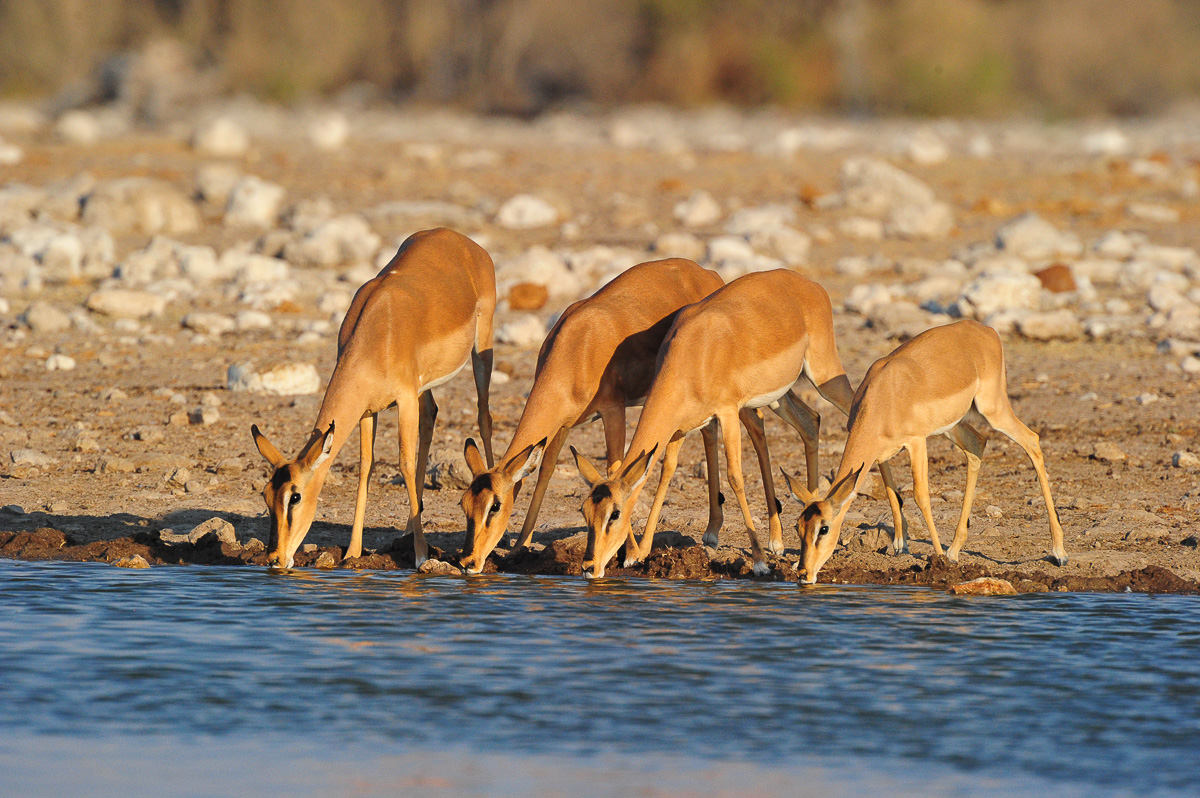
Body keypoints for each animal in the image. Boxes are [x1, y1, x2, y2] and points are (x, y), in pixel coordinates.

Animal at [250, 228, 496, 570]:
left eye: (295, 496)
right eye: (265, 494)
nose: (275, 558)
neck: (379, 333)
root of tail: (460, 239)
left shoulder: (404, 400)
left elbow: (404, 463)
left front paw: (421, 556)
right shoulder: (368, 410)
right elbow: (366, 466)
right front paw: (353, 552)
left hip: (481, 348)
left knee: (484, 417)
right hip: (423, 389)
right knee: (431, 415)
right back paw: (407, 529)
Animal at [458, 258, 725, 574]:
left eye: (495, 506)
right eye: (464, 504)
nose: (467, 562)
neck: (579, 347)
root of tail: (708, 273)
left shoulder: (613, 411)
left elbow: (615, 470)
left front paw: (630, 553)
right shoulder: (563, 424)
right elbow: (545, 471)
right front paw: (519, 546)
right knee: (708, 435)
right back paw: (712, 530)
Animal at [571, 268, 901, 579]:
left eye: (614, 514)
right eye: (584, 510)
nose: (588, 567)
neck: (695, 352)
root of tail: (807, 283)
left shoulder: (727, 412)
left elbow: (735, 477)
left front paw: (760, 563)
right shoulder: (679, 426)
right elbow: (665, 472)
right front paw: (638, 553)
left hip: (824, 375)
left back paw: (899, 542)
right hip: (779, 396)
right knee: (811, 421)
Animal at [781, 319, 1068, 585]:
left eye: (824, 528)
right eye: (797, 526)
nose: (804, 573)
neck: (885, 394)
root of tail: (985, 330)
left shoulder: (917, 442)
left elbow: (921, 496)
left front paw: (938, 555)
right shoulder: (881, 451)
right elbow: (891, 490)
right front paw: (901, 545)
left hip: (993, 409)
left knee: (1032, 440)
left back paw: (1059, 552)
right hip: (954, 426)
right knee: (977, 444)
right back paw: (955, 550)